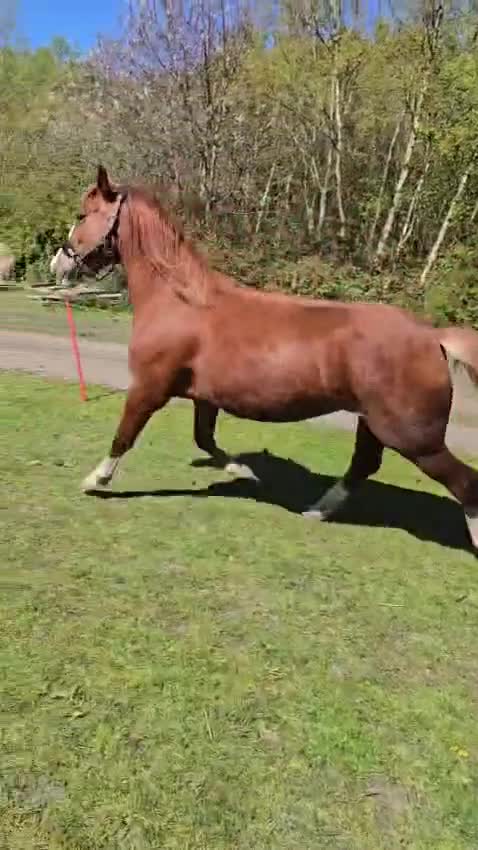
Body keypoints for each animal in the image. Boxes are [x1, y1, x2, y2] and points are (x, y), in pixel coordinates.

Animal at [50, 165, 478, 550]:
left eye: (82, 215)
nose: (58, 263)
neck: (180, 302)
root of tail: (432, 337)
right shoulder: (204, 398)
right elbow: (205, 439)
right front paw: (245, 471)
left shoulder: (149, 388)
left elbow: (124, 435)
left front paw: (96, 480)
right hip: (373, 424)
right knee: (364, 466)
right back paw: (317, 510)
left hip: (415, 438)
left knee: (465, 483)